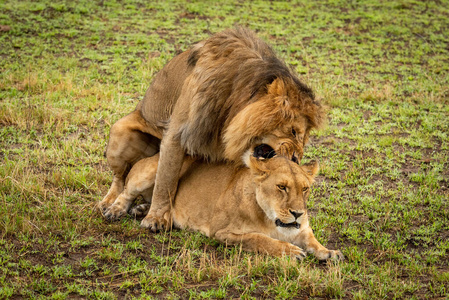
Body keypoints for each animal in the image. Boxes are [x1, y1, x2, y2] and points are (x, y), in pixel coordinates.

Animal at [98, 27, 324, 232]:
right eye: (294, 131)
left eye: (305, 139)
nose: (295, 159)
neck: (232, 104)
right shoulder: (177, 133)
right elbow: (166, 180)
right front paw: (156, 219)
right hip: (120, 133)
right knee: (122, 177)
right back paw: (111, 205)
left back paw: (140, 207)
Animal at [104, 156, 344, 262]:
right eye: (281, 187)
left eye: (305, 189)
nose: (298, 213)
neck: (271, 219)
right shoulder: (222, 232)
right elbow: (259, 238)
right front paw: (290, 251)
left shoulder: (302, 229)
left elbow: (313, 241)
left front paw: (329, 252)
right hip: (155, 171)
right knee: (126, 192)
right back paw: (115, 210)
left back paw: (146, 212)